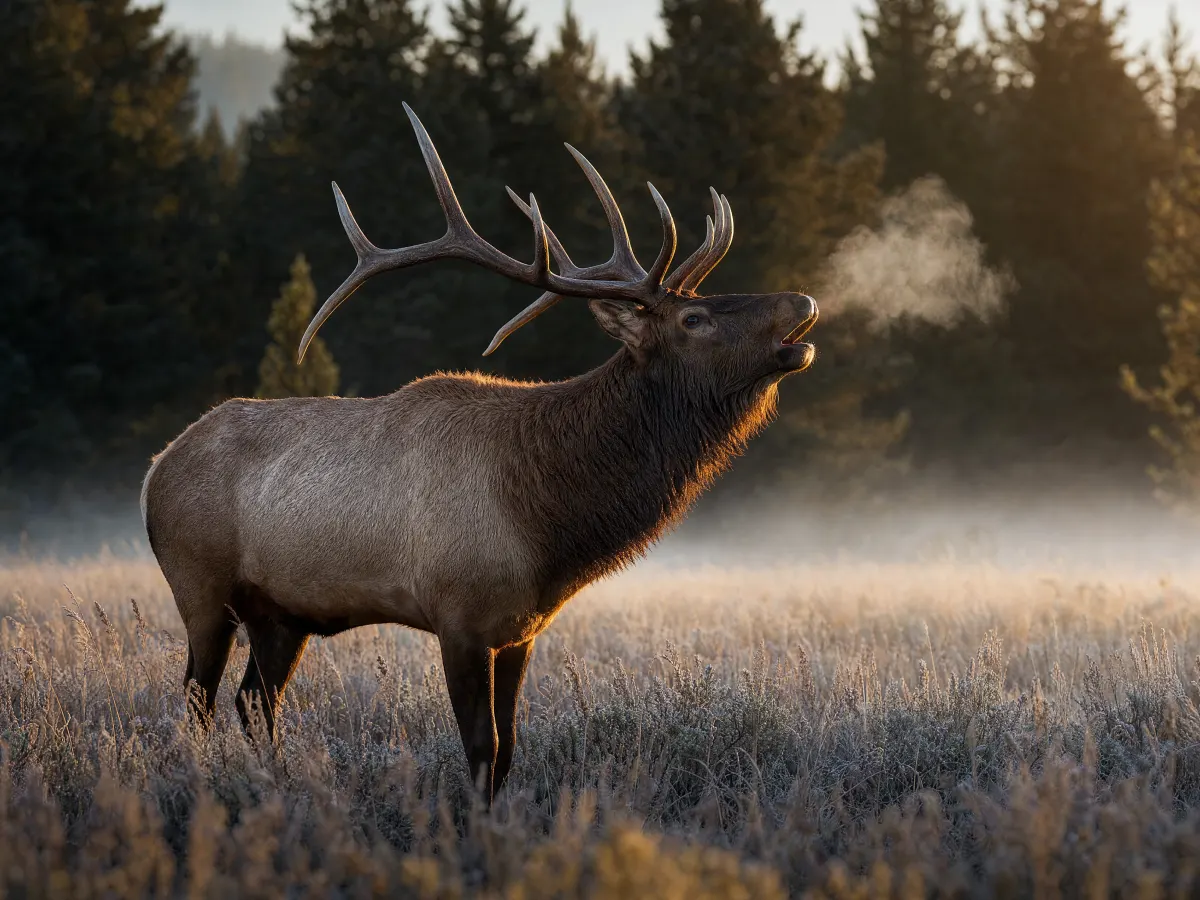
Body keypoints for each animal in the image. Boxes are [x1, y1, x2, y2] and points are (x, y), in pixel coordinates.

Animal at [141, 103, 817, 805]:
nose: (802, 300)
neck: (546, 525)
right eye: (694, 320)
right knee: (198, 701)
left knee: (255, 702)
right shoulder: (457, 614)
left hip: (282, 613)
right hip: (200, 586)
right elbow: (481, 747)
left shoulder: (521, 628)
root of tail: (154, 470)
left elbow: (511, 748)